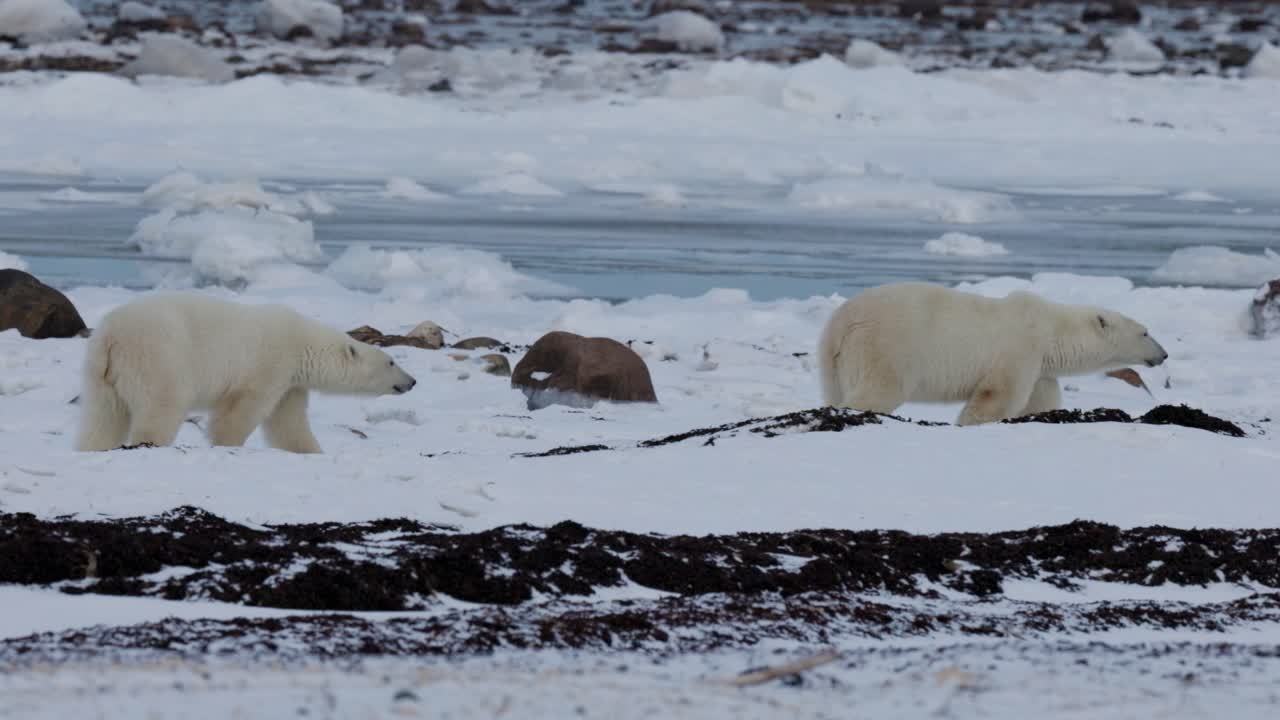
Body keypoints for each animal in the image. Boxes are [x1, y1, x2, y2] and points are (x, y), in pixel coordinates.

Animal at [75, 293, 417, 453]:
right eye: (391, 362)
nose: (412, 381)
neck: (301, 342)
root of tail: (111, 337)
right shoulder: (269, 363)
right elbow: (241, 409)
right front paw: (227, 444)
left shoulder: (291, 383)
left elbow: (288, 424)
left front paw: (310, 451)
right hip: (159, 357)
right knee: (162, 405)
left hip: (99, 374)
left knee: (103, 417)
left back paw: (93, 447)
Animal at [817, 282, 1168, 426]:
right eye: (1145, 332)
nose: (1163, 355)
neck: (1052, 331)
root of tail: (842, 324)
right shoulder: (1020, 348)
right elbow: (997, 394)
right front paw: (970, 423)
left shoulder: (1040, 369)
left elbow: (1041, 400)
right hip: (888, 347)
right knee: (878, 390)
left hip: (833, 364)